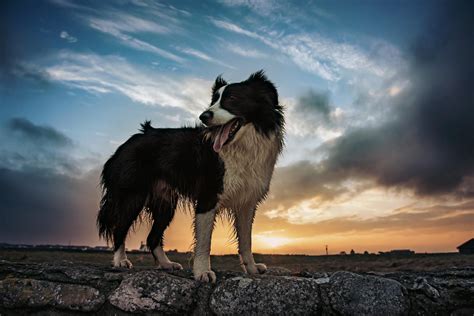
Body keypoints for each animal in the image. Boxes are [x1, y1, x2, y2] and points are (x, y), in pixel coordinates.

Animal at [97, 70, 284, 282]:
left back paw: (166, 264)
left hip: (165, 202)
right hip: (132, 196)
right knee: (120, 228)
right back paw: (120, 261)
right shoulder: (208, 196)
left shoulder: (247, 202)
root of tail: (126, 143)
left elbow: (246, 241)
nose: (203, 115)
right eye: (213, 100)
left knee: (152, 237)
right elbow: (204, 243)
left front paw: (251, 268)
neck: (242, 145)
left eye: (232, 98)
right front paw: (202, 272)